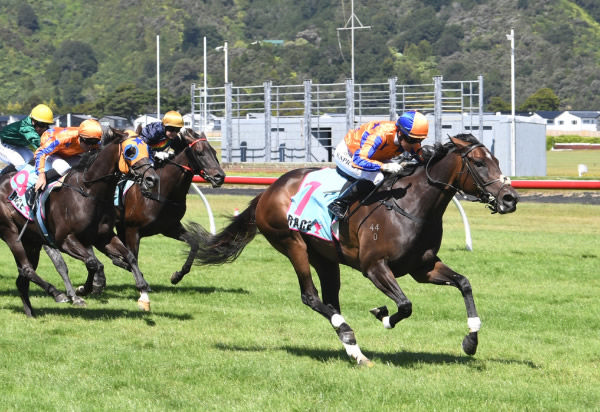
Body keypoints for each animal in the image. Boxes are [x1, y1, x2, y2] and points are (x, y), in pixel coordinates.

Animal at [0, 130, 159, 318]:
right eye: (130, 151)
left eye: (149, 149)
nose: (152, 179)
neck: (89, 192)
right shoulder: (65, 240)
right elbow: (93, 262)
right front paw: (86, 289)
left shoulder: (102, 237)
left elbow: (128, 256)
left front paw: (143, 289)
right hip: (11, 233)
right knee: (26, 269)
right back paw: (57, 293)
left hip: (31, 242)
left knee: (22, 280)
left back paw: (31, 313)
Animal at [190, 134, 516, 366]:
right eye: (479, 163)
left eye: (497, 159)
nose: (510, 198)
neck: (412, 206)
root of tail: (268, 190)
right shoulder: (375, 267)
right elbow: (405, 305)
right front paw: (383, 315)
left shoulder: (422, 267)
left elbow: (464, 283)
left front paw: (471, 341)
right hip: (292, 243)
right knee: (311, 296)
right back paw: (348, 333)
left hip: (325, 257)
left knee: (330, 300)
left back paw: (354, 350)